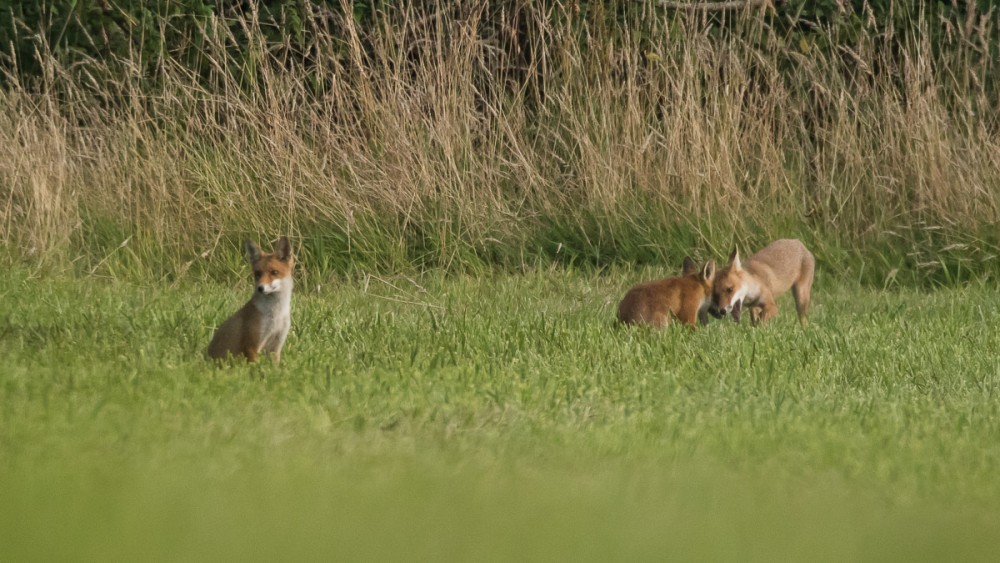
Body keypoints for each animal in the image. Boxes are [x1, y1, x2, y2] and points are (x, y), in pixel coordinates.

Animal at [206, 236, 292, 364]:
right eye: (258, 273)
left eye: (274, 272)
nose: (260, 288)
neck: (276, 314)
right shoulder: (252, 345)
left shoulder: (276, 347)